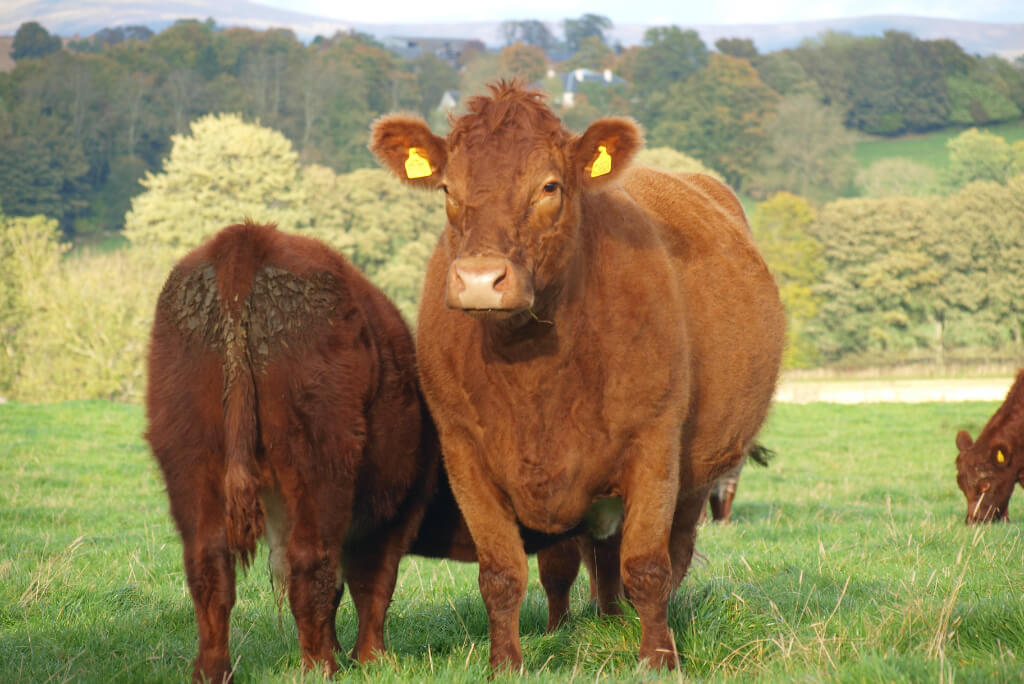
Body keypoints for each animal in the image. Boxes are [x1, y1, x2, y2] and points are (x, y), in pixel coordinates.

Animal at [145, 221, 447, 682]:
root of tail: (246, 237)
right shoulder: (397, 510)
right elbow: (373, 582)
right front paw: (371, 658)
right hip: (318, 459)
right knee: (313, 564)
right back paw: (320, 666)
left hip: (190, 452)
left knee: (209, 566)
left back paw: (213, 671)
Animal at [370, 81, 786, 670]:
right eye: (449, 187)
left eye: (549, 186)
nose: (480, 279)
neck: (532, 373)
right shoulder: (465, 452)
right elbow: (503, 573)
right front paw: (508, 662)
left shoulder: (654, 446)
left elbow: (648, 566)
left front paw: (657, 659)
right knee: (585, 559)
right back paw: (590, 621)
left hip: (698, 472)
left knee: (670, 555)